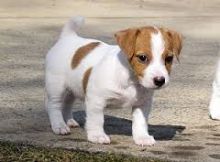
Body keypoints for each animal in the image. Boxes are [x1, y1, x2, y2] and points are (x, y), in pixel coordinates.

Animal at [45, 16, 182, 146]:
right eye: (142, 57)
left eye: (169, 58)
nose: (160, 80)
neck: (131, 79)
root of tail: (68, 37)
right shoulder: (96, 101)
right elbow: (97, 120)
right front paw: (97, 136)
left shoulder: (142, 104)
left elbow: (140, 122)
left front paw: (142, 137)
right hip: (57, 87)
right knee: (54, 105)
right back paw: (59, 125)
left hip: (73, 87)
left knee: (67, 103)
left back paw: (69, 121)